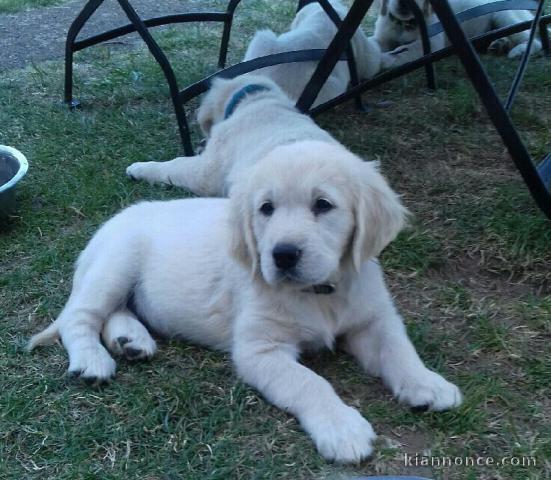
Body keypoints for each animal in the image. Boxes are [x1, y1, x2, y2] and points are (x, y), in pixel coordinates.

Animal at [376, 0, 544, 60]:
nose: (404, 3)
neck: (403, 24)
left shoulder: (431, 44)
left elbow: (402, 51)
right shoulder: (382, 38)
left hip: (505, 16)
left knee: (534, 41)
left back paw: (519, 51)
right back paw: (500, 44)